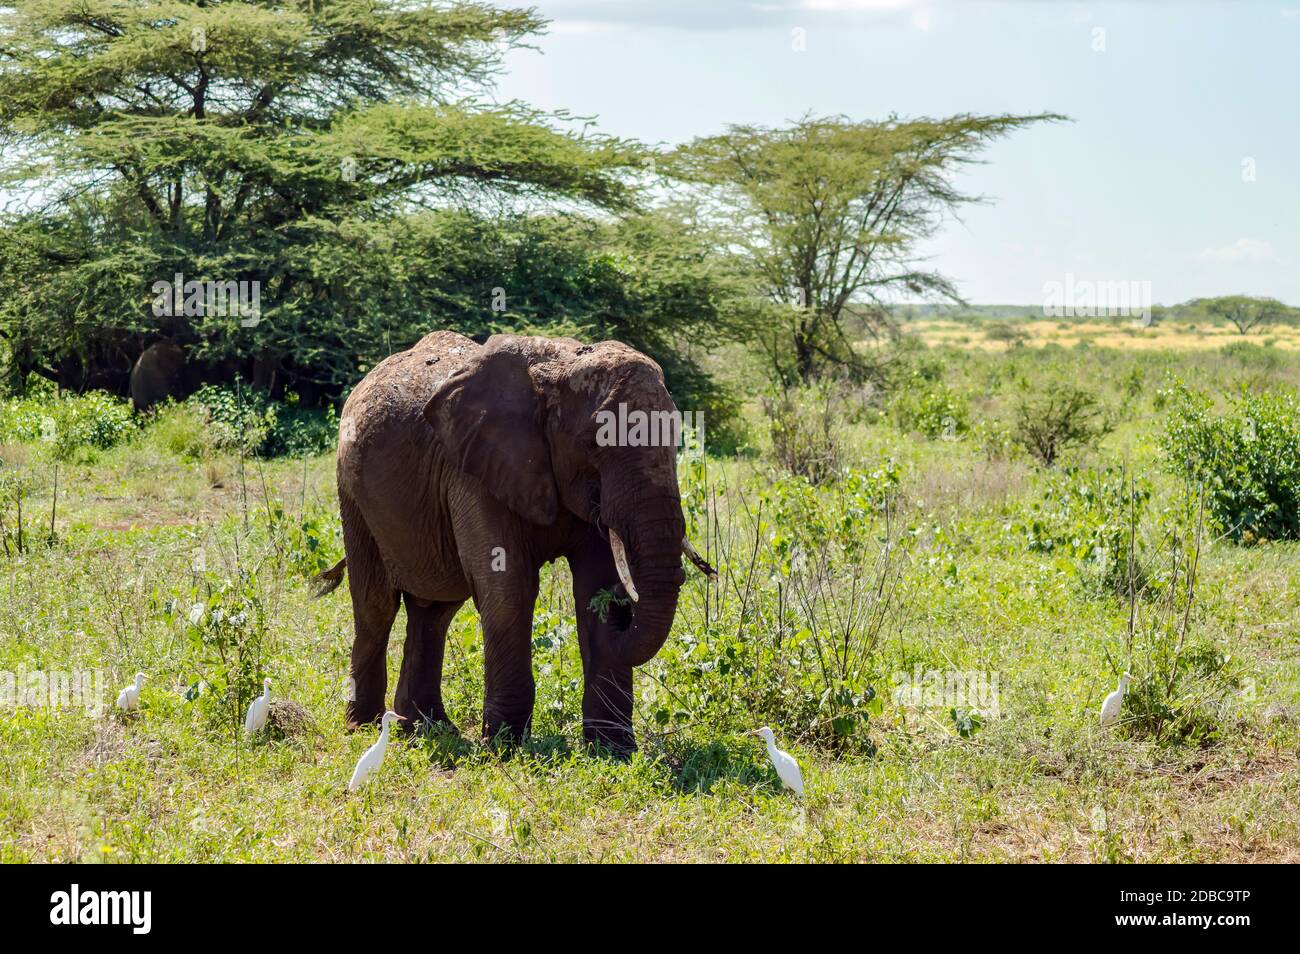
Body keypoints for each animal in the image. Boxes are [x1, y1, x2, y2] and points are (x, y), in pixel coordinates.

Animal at [318, 330, 717, 753]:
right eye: (593, 444)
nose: (620, 618)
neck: (558, 366)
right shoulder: (475, 470)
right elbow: (509, 587)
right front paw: (505, 747)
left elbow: (596, 582)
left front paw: (614, 751)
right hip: (352, 492)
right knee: (376, 603)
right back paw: (365, 725)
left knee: (435, 612)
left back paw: (427, 727)